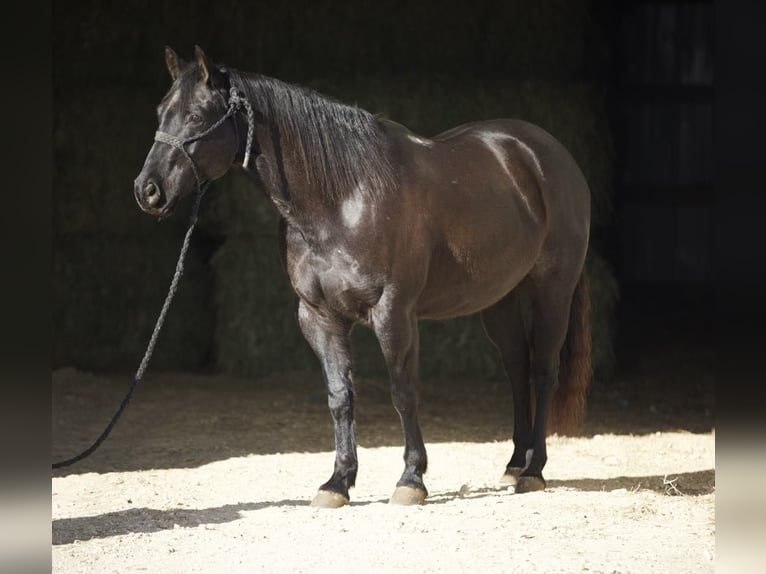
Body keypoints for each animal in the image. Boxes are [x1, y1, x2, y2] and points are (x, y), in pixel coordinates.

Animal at [135, 47, 592, 510]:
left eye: (195, 116)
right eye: (160, 111)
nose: (147, 190)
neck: (344, 196)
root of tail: (546, 154)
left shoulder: (394, 313)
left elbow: (403, 392)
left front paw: (411, 480)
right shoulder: (319, 317)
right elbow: (340, 397)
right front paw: (338, 482)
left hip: (552, 290)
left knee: (543, 370)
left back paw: (534, 470)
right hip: (499, 299)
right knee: (517, 368)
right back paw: (515, 464)